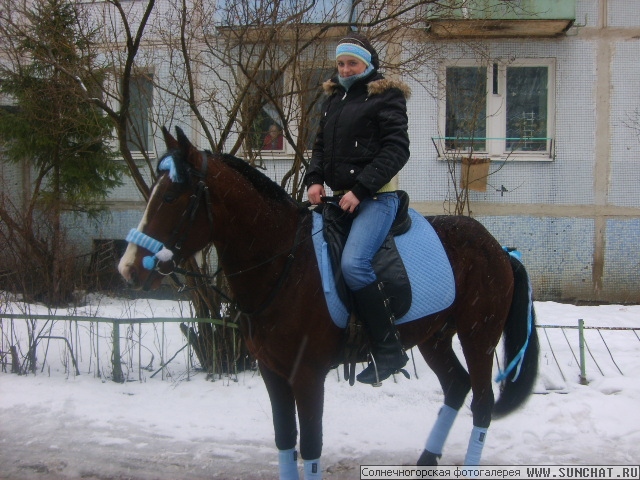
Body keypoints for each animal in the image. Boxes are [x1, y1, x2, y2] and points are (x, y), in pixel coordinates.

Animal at [117, 125, 536, 478]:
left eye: (170, 196)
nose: (128, 269)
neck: (284, 262)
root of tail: (499, 249)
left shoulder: (307, 374)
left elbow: (311, 445)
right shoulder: (272, 372)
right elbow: (285, 440)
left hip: (478, 337)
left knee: (481, 403)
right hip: (434, 337)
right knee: (456, 387)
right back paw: (425, 460)